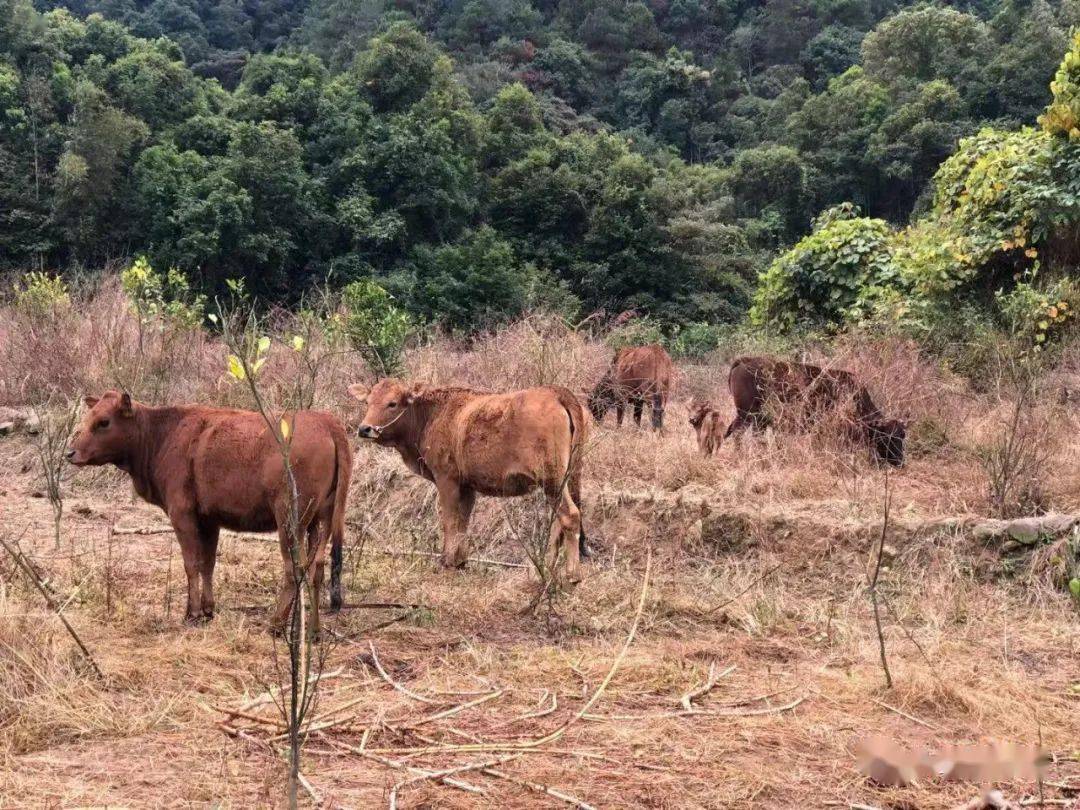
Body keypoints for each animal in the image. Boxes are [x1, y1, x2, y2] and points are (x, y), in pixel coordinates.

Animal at [67, 390, 352, 635]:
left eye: (104, 422)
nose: (70, 452)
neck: (162, 434)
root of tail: (326, 421)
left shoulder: (182, 514)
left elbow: (191, 563)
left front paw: (191, 613)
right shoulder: (209, 519)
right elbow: (208, 564)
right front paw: (207, 610)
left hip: (290, 520)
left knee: (294, 569)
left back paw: (276, 624)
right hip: (320, 521)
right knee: (317, 568)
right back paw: (313, 630)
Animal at [349, 382, 591, 578]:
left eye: (392, 403)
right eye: (368, 402)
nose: (364, 429)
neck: (432, 414)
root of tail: (556, 393)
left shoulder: (446, 479)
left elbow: (449, 520)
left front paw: (447, 561)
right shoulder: (467, 486)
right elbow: (463, 521)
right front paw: (460, 560)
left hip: (552, 481)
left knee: (569, 515)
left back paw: (571, 575)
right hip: (565, 479)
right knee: (560, 520)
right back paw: (545, 568)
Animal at [721, 356, 907, 466]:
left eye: (902, 435)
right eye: (889, 437)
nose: (900, 461)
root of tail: (744, 360)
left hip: (748, 417)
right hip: (748, 415)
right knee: (738, 433)